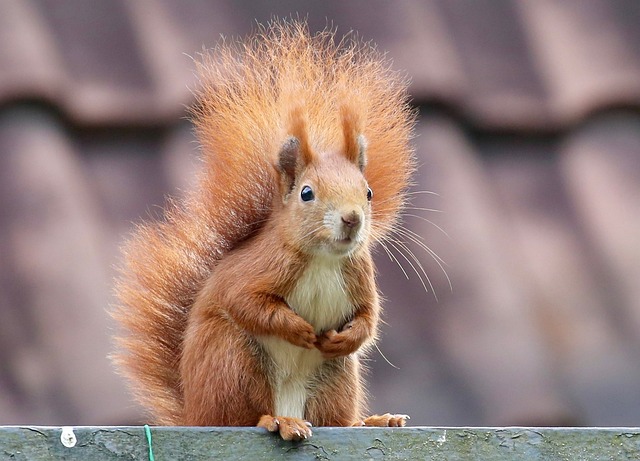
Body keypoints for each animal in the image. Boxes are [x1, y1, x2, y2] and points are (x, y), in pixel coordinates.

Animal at [112, 20, 415, 441]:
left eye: (368, 192)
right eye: (307, 193)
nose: (352, 218)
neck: (323, 259)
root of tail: (196, 413)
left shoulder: (359, 275)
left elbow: (369, 319)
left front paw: (344, 337)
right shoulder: (260, 269)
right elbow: (247, 302)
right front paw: (300, 329)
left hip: (334, 378)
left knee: (333, 419)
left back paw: (370, 421)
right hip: (232, 361)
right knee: (242, 415)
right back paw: (277, 421)